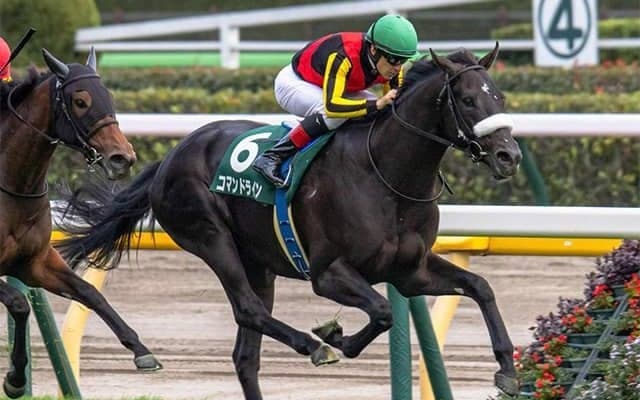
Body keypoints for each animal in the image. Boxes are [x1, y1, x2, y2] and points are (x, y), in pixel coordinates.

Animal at [0, 47, 162, 398]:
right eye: (81, 101)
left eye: (108, 97)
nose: (122, 158)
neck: (12, 184)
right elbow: (19, 304)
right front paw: (15, 379)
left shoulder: (34, 263)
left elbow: (89, 292)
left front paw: (141, 351)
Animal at [56, 44, 522, 398]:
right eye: (467, 100)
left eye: (499, 97)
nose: (509, 156)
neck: (387, 176)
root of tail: (170, 157)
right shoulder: (328, 273)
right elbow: (382, 311)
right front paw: (334, 337)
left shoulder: (411, 271)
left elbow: (480, 287)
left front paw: (507, 369)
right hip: (210, 236)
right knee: (247, 308)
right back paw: (312, 346)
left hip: (258, 263)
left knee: (246, 354)